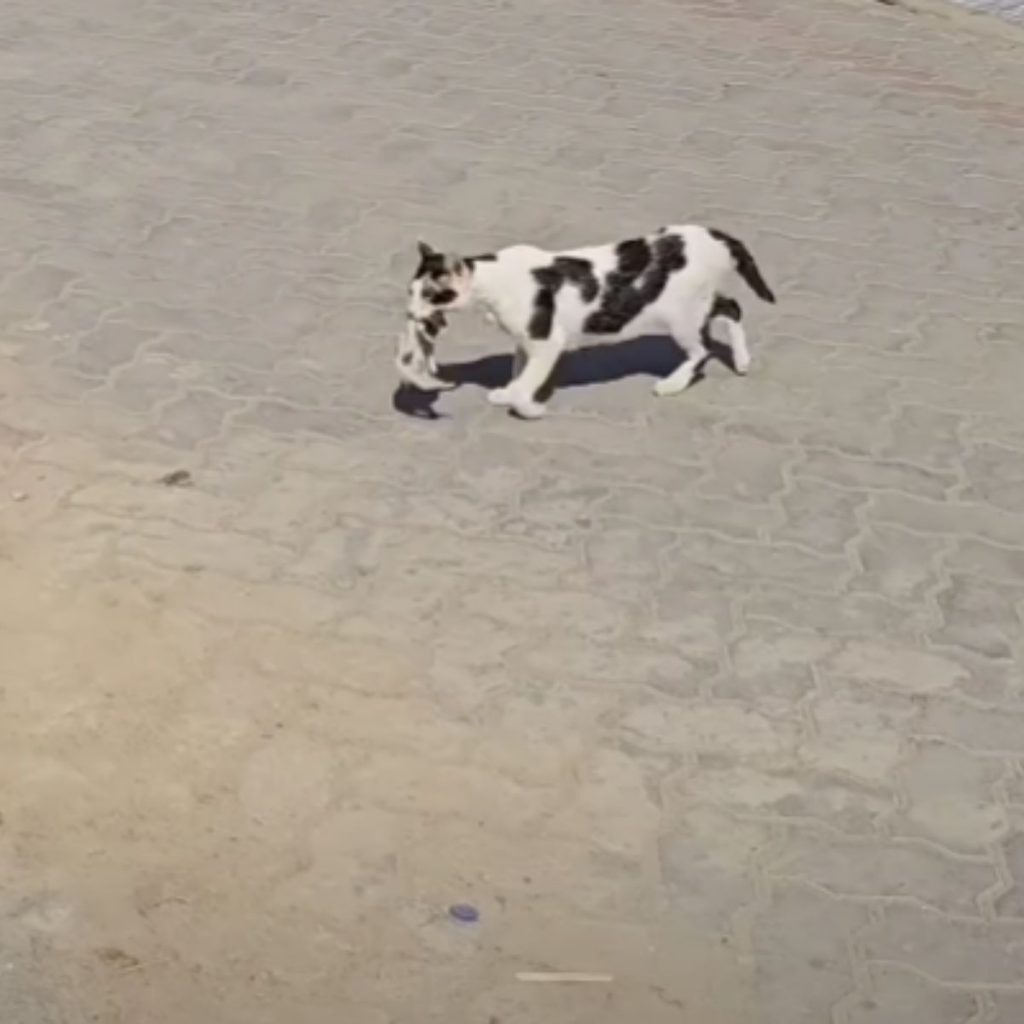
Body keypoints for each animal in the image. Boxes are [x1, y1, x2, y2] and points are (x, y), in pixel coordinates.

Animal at [395, 223, 770, 415]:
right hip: (697, 303)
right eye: (410, 292)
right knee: (732, 307)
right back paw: (742, 361)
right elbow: (520, 369)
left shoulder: (548, 340)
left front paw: (526, 405)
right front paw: (510, 391)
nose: (410, 313)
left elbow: (528, 379)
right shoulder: (526, 340)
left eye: (429, 295)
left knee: (701, 350)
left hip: (682, 316)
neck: (492, 281)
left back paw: (672, 384)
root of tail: (714, 236)